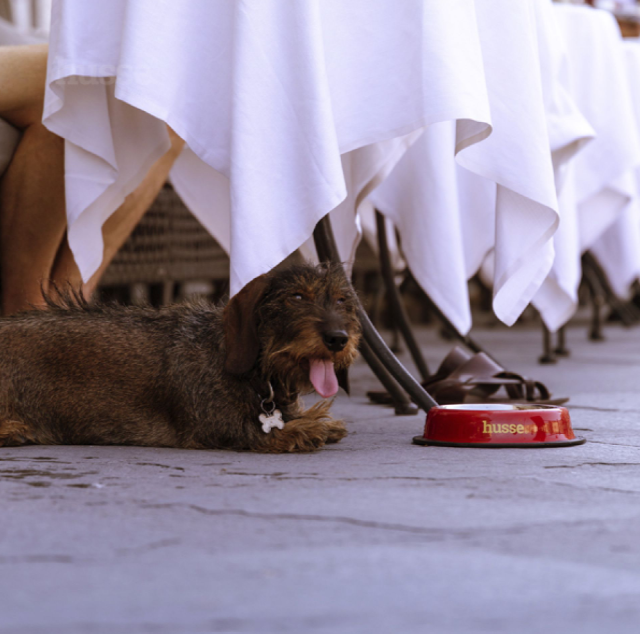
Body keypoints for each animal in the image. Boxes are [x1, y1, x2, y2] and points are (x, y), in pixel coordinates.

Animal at [0, 262, 360, 450]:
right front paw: (305, 429)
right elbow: (262, 432)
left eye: (342, 300)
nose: (338, 339)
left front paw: (317, 421)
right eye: (296, 297)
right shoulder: (215, 426)